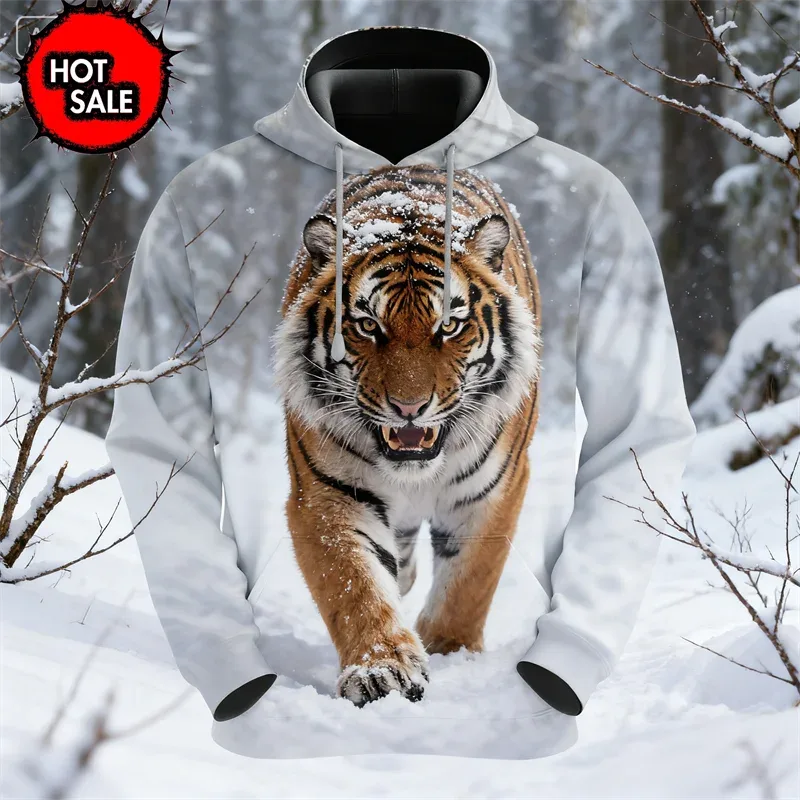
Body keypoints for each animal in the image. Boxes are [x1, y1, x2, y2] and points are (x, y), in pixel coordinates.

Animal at [273, 164, 542, 707]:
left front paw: (449, 650)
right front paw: (383, 670)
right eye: (366, 326)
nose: (409, 407)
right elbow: (354, 585)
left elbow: (469, 582)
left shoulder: (494, 490)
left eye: (451, 326)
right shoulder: (327, 494)